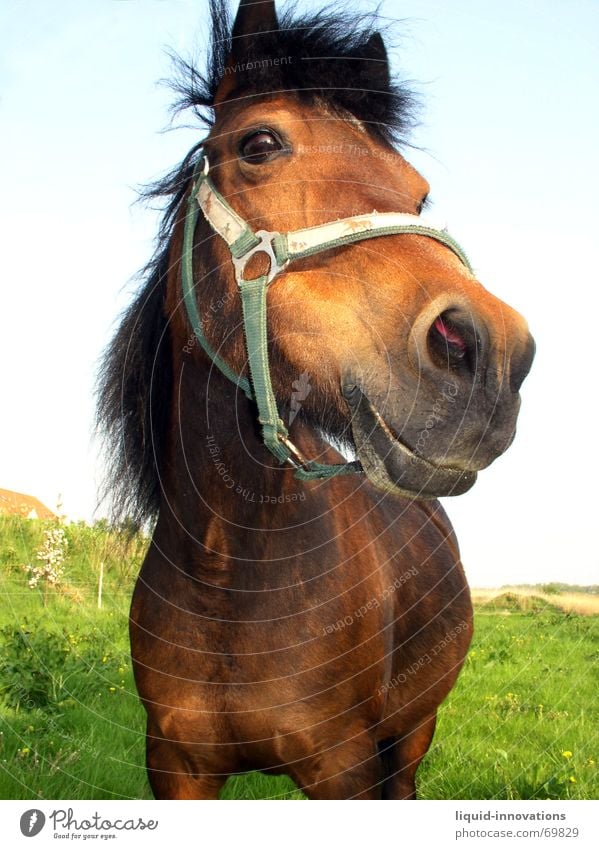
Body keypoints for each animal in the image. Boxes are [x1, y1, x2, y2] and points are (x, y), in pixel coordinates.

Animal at [97, 0, 536, 800]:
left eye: (418, 192)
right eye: (259, 144)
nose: (491, 352)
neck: (226, 573)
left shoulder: (345, 769)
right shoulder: (175, 767)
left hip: (410, 738)